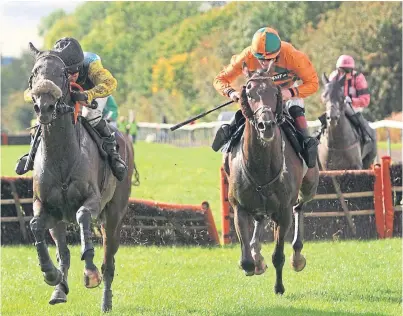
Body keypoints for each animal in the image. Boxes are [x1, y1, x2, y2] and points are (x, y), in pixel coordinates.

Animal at [27, 43, 134, 312]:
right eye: (35, 72)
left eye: (62, 73)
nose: (44, 107)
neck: (61, 156)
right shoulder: (45, 206)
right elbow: (35, 226)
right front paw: (50, 274)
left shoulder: (92, 200)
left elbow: (84, 216)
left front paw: (90, 272)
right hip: (59, 220)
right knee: (63, 252)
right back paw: (59, 289)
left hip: (114, 215)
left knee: (109, 261)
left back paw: (105, 300)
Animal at [224, 66, 318, 294]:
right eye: (249, 93)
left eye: (275, 93)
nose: (265, 125)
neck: (261, 167)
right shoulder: (239, 208)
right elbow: (246, 260)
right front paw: (254, 263)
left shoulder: (282, 212)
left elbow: (278, 255)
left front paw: (279, 287)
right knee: (259, 221)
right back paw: (258, 256)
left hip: (309, 187)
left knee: (299, 207)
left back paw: (297, 257)